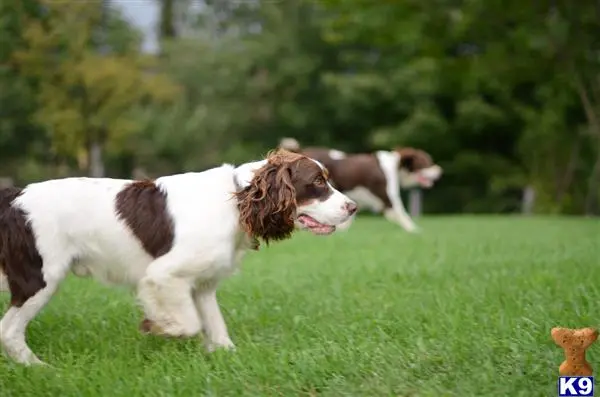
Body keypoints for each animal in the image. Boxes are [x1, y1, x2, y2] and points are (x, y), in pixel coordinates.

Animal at [0, 149, 356, 366]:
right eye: (317, 182)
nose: (353, 207)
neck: (236, 201)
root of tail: (15, 197)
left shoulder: (202, 285)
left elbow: (216, 326)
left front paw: (226, 355)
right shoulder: (162, 274)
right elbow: (189, 323)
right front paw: (157, 326)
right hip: (39, 278)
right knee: (9, 330)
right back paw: (39, 368)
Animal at [278, 138, 442, 234]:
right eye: (426, 162)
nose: (440, 170)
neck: (395, 166)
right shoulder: (388, 195)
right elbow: (401, 212)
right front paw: (414, 230)